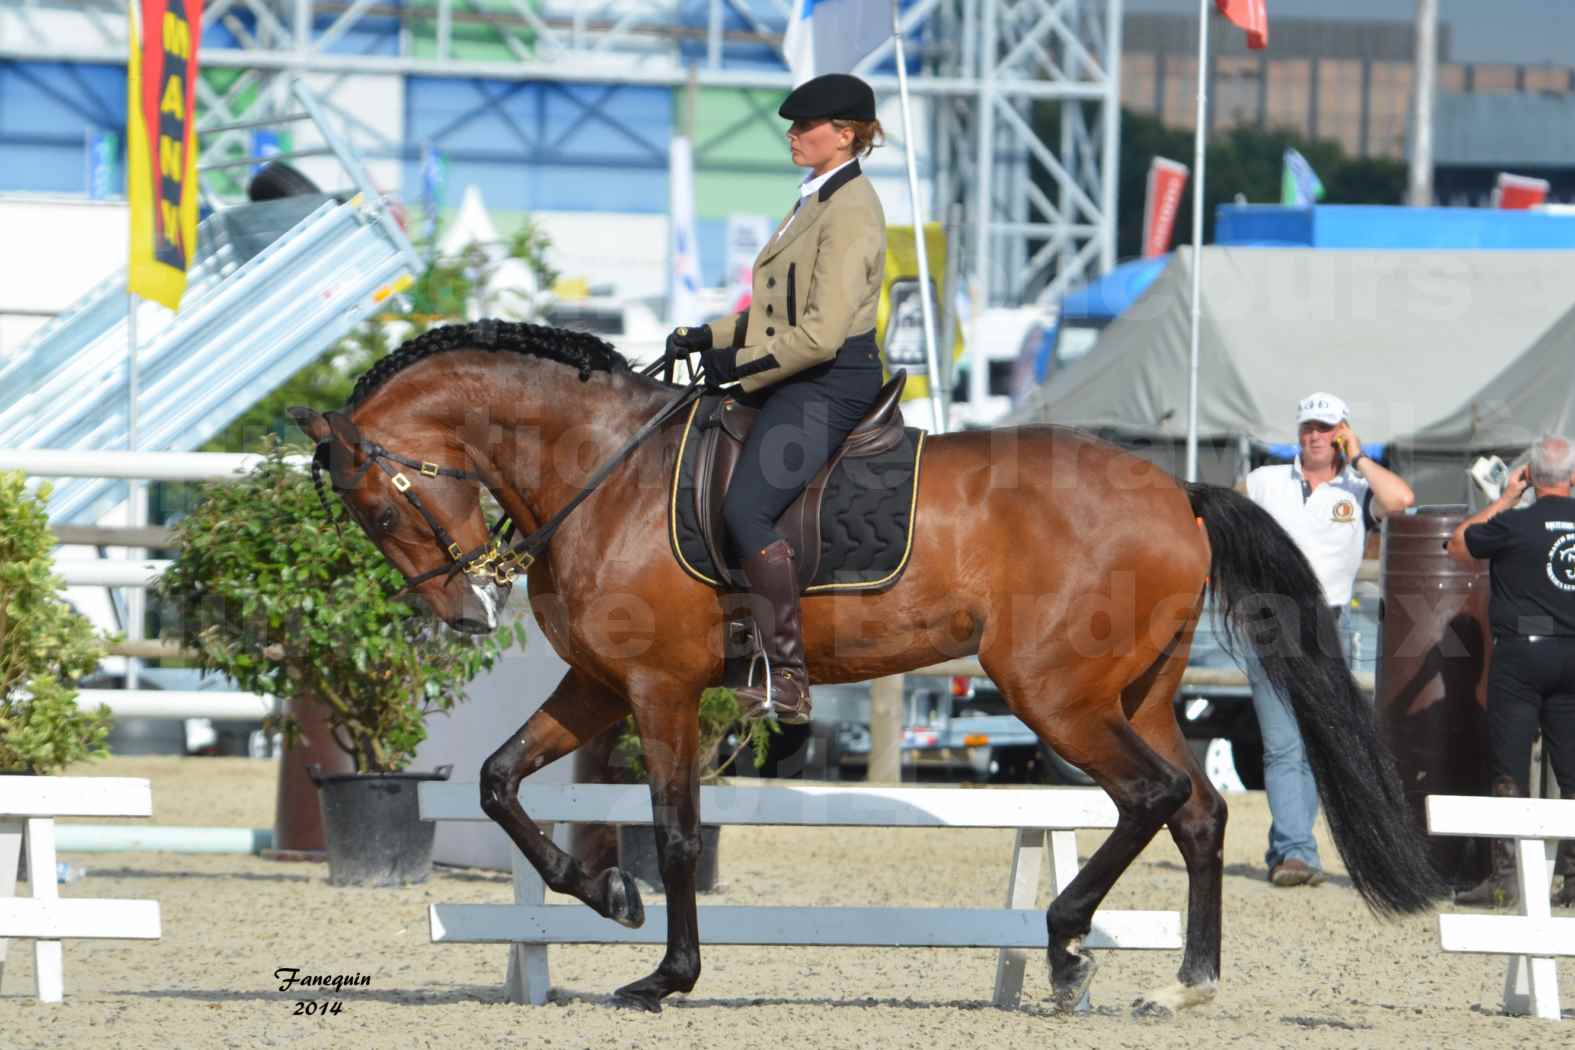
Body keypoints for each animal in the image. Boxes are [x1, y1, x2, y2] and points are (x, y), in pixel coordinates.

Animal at [289, 322, 1442, 1020]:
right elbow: (497, 782)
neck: (604, 471)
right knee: (1196, 810)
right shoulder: (601, 683)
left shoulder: (659, 689)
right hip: (1134, 692)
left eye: (379, 506)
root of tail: (1180, 492)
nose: (457, 614)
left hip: (1055, 694)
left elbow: (675, 833)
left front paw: (666, 972)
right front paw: (603, 892)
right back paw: (1184, 984)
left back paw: (1067, 944)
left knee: (1155, 796)